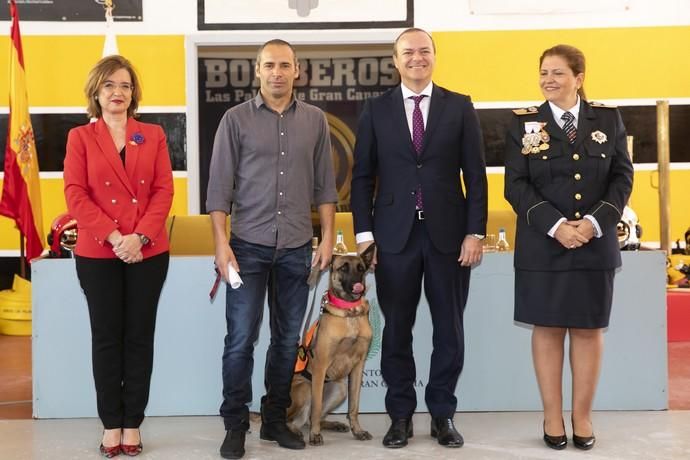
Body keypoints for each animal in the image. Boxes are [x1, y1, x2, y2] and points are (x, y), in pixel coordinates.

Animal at [286, 244, 376, 446]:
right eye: (343, 268)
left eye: (361, 268)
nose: (359, 284)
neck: (350, 313)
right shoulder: (320, 366)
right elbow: (317, 406)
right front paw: (314, 435)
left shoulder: (358, 367)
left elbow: (354, 407)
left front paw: (357, 431)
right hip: (305, 389)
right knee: (294, 420)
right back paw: (296, 432)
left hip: (340, 389)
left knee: (308, 419)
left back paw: (332, 424)